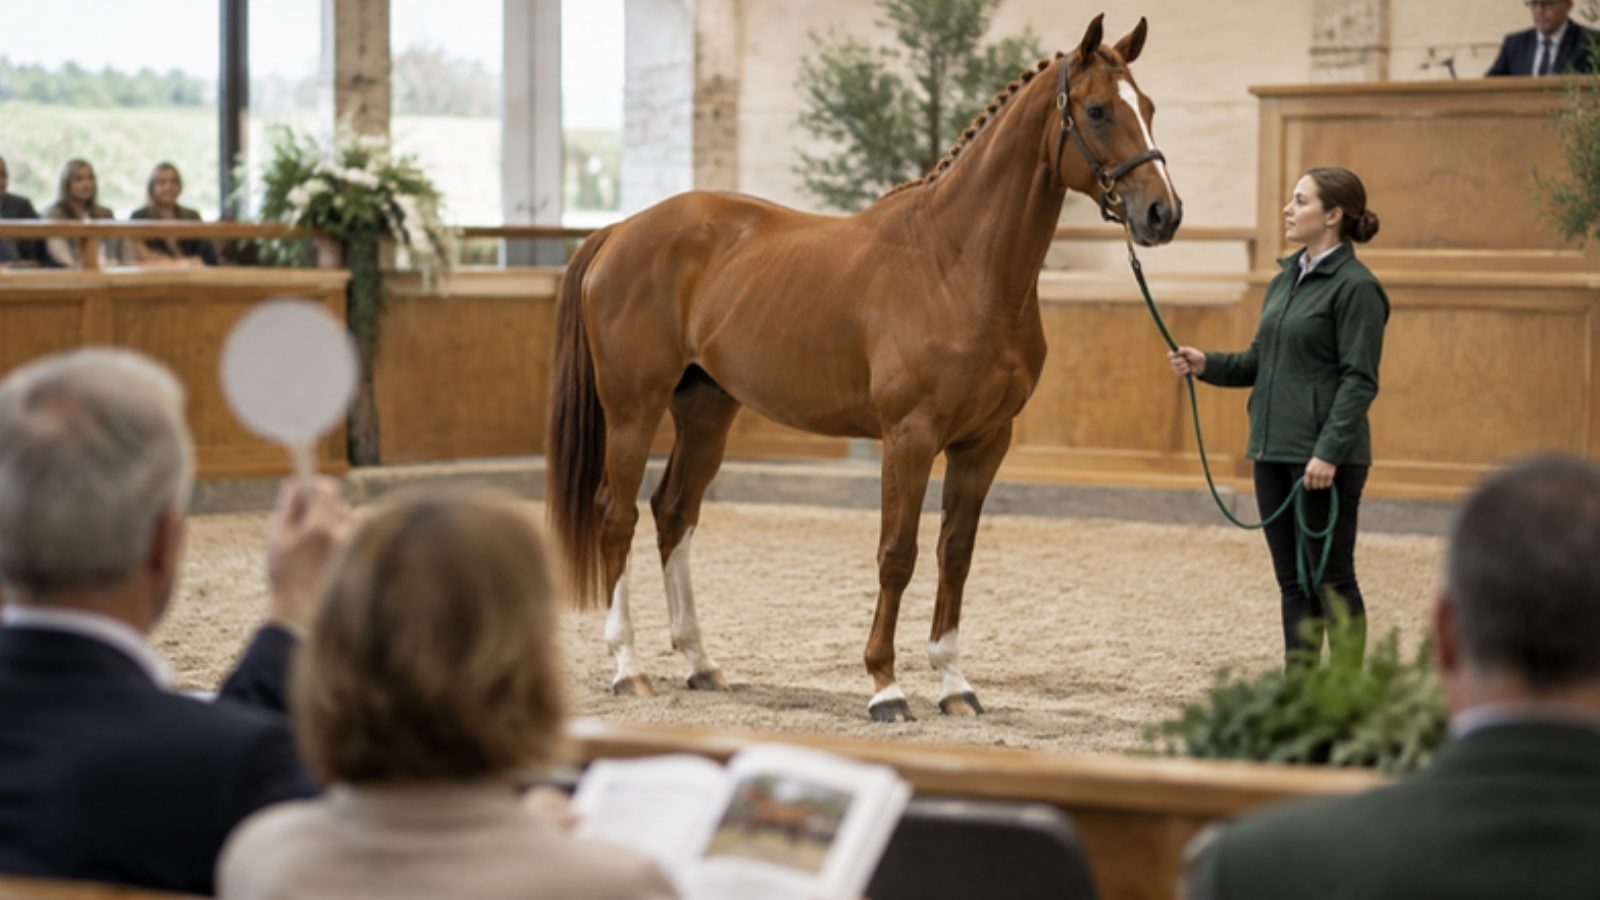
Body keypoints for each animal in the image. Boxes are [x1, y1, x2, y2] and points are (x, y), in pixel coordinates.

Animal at [547, 14, 1181, 722]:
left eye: (1148, 107)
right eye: (1097, 111)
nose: (1162, 214)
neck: (958, 265)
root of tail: (620, 230)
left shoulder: (985, 442)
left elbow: (955, 553)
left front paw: (954, 683)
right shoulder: (910, 437)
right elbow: (897, 554)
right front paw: (886, 686)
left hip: (706, 409)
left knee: (673, 511)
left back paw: (700, 663)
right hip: (633, 408)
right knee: (617, 515)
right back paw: (628, 668)